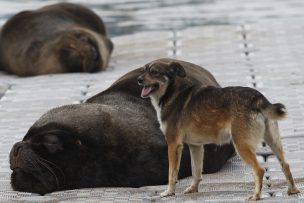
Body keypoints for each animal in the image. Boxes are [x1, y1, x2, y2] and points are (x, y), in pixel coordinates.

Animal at [138, 59, 300, 200]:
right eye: (143, 70)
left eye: (154, 72)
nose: (139, 80)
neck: (171, 92)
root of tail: (258, 98)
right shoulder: (196, 147)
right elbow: (196, 171)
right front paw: (193, 189)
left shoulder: (173, 145)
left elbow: (172, 173)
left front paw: (169, 192)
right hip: (273, 142)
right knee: (285, 164)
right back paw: (292, 190)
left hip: (241, 145)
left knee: (259, 170)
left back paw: (256, 196)